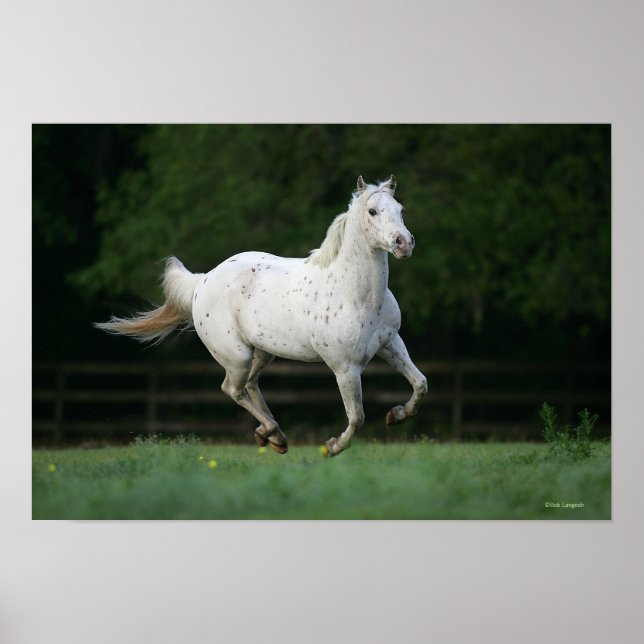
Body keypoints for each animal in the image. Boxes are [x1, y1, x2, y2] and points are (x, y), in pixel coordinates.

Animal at [96, 175, 428, 456]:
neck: (355, 294)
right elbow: (357, 416)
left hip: (263, 352)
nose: (404, 243)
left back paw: (272, 436)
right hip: (237, 356)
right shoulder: (345, 367)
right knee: (232, 388)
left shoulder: (390, 344)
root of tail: (203, 281)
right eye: (372, 211)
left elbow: (420, 383)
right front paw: (332, 447)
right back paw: (273, 433)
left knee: (250, 385)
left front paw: (396, 415)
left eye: (400, 209)